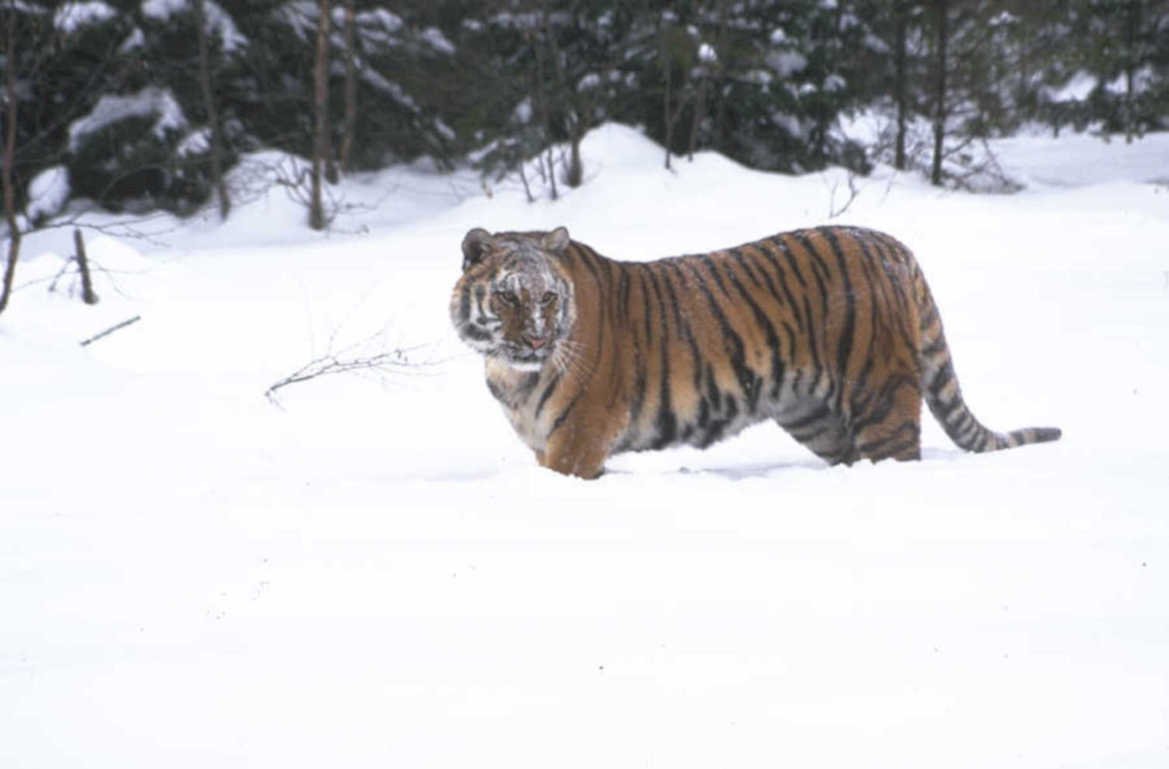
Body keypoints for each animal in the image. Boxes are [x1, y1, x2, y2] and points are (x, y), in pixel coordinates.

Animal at [449, 225, 1060, 479]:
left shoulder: (578, 439)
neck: (511, 372)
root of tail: (894, 245)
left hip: (879, 395)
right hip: (814, 415)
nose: (535, 338)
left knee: (898, 459)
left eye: (548, 297)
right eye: (508, 295)